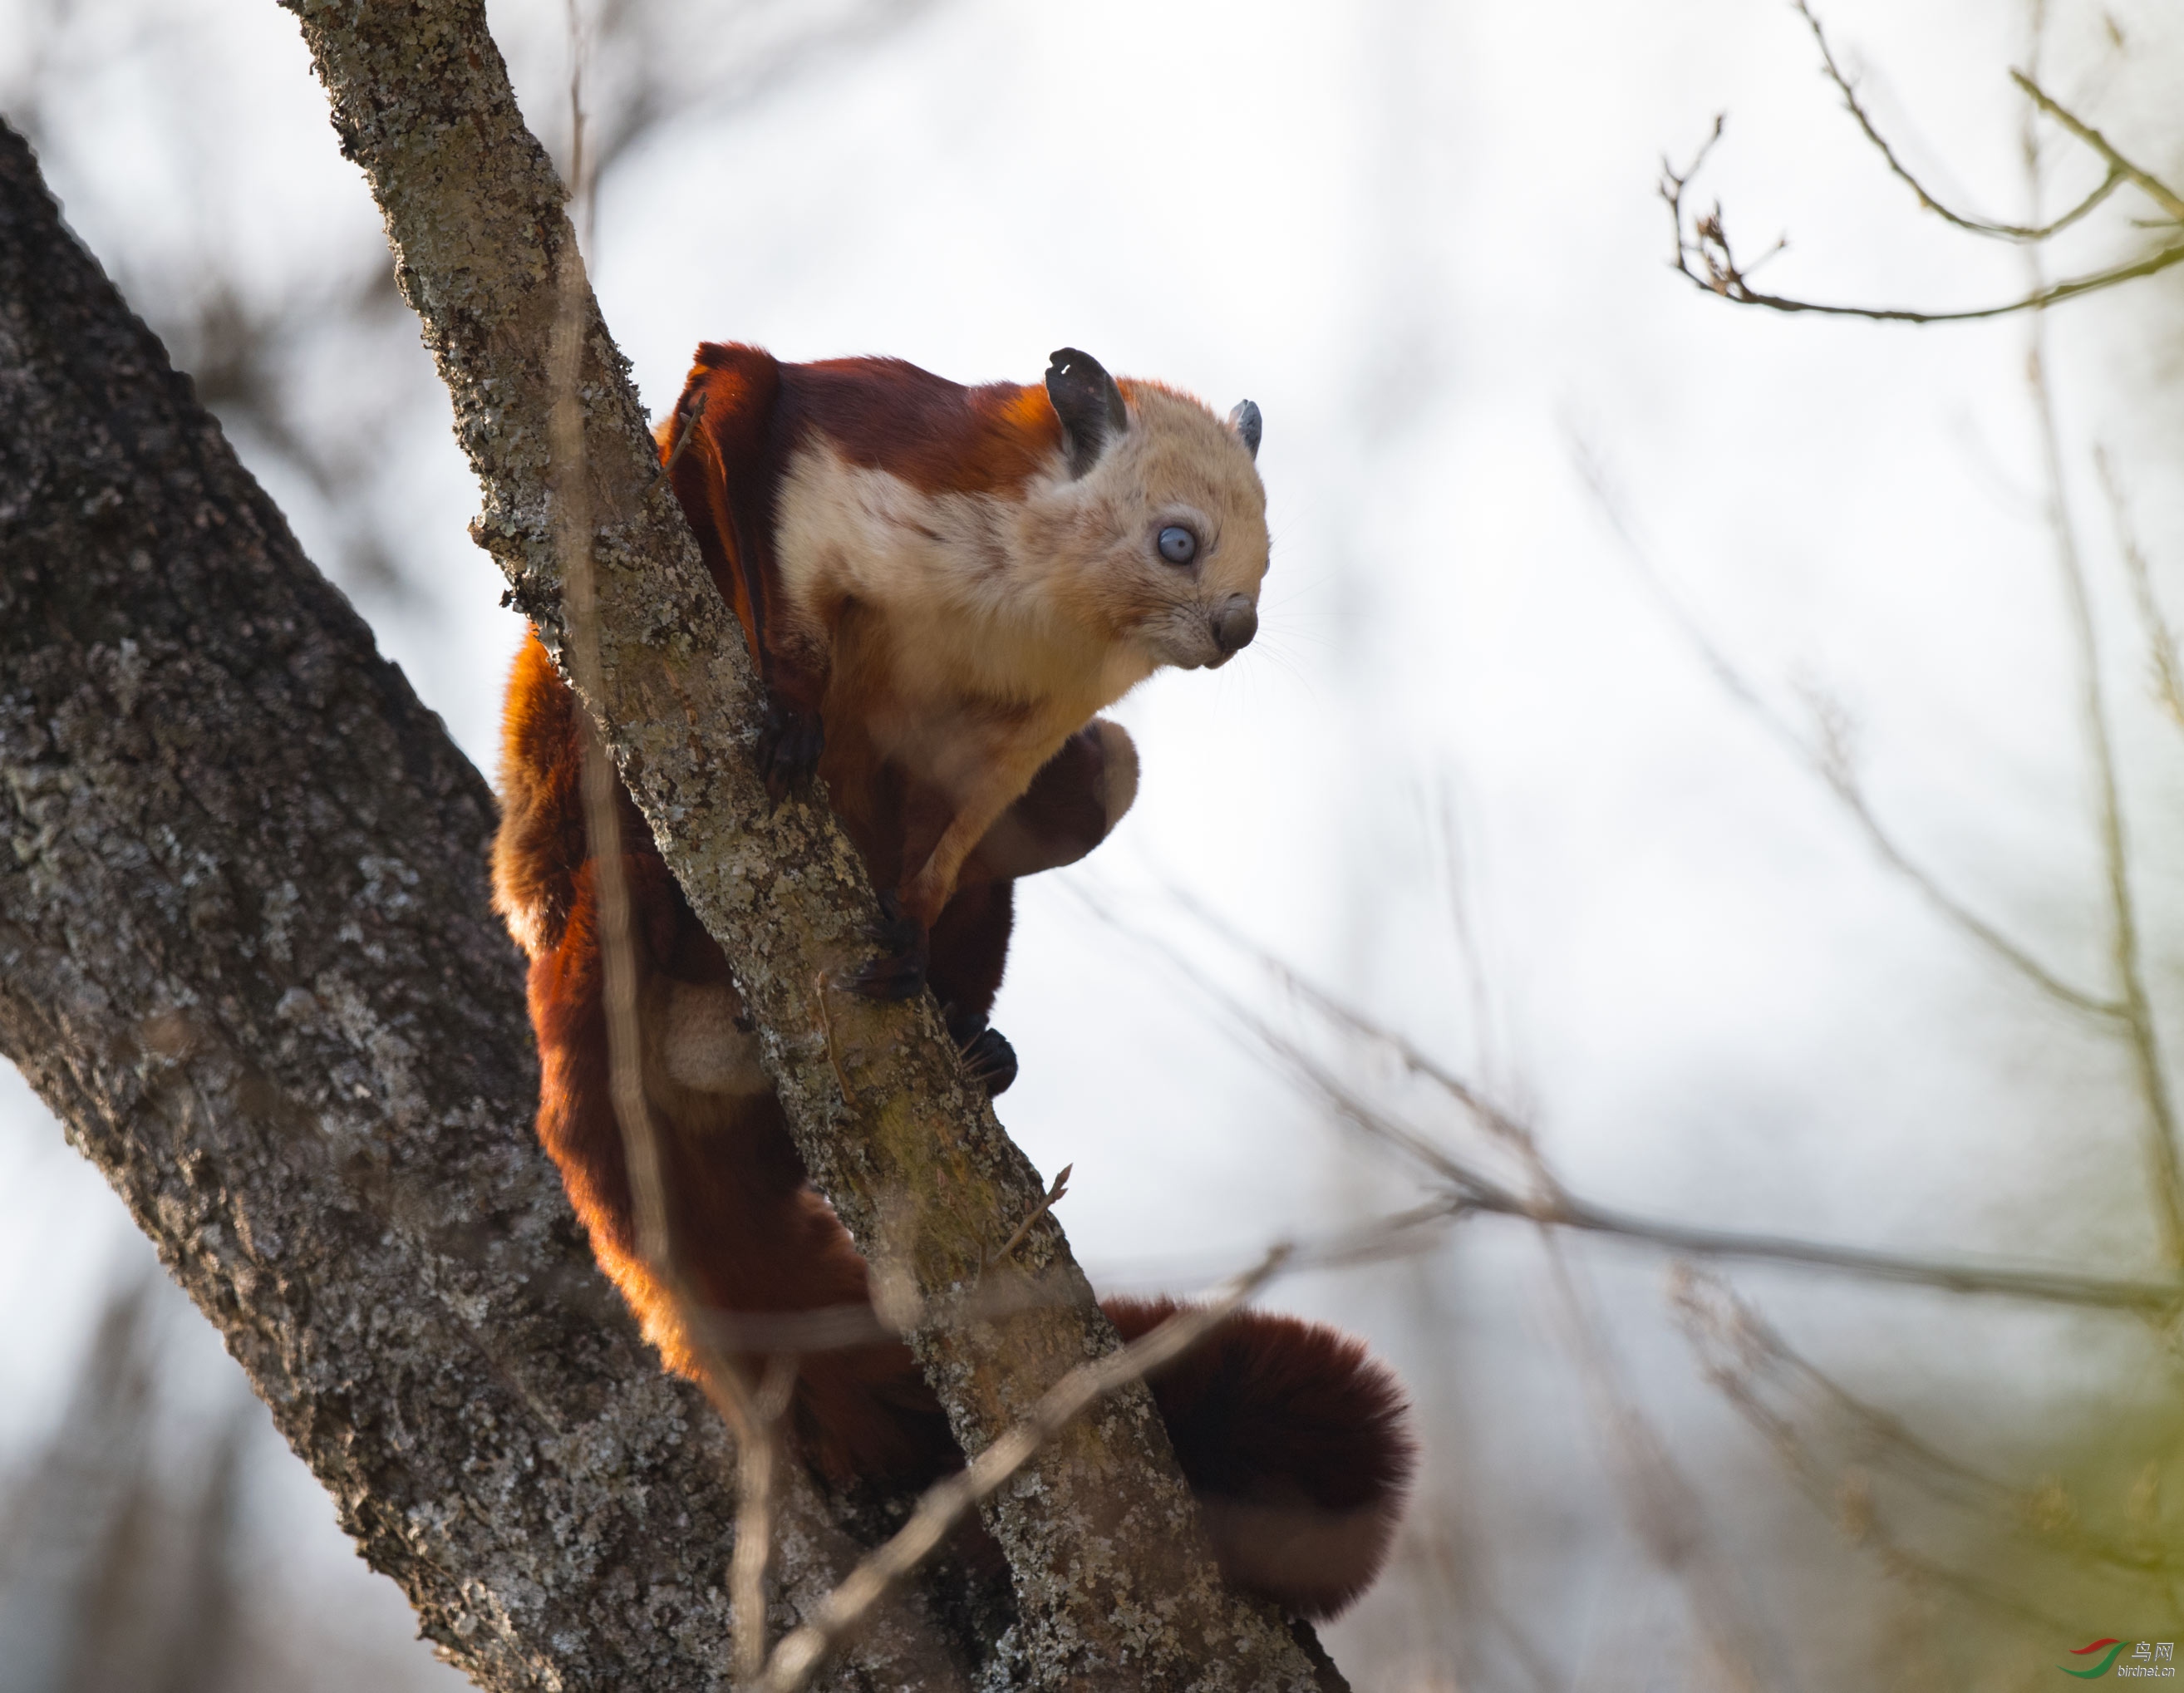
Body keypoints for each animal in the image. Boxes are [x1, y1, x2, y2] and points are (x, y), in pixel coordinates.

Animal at [493, 341, 1414, 1617]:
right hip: (585, 840)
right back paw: (679, 918)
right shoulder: (843, 467)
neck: (1033, 613)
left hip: (1089, 784)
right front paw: (790, 711)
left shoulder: (1042, 730)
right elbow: (765, 524)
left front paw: (916, 950)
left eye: (1267, 553)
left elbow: (948, 851)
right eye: (1178, 540)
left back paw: (976, 1047)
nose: (1236, 628)